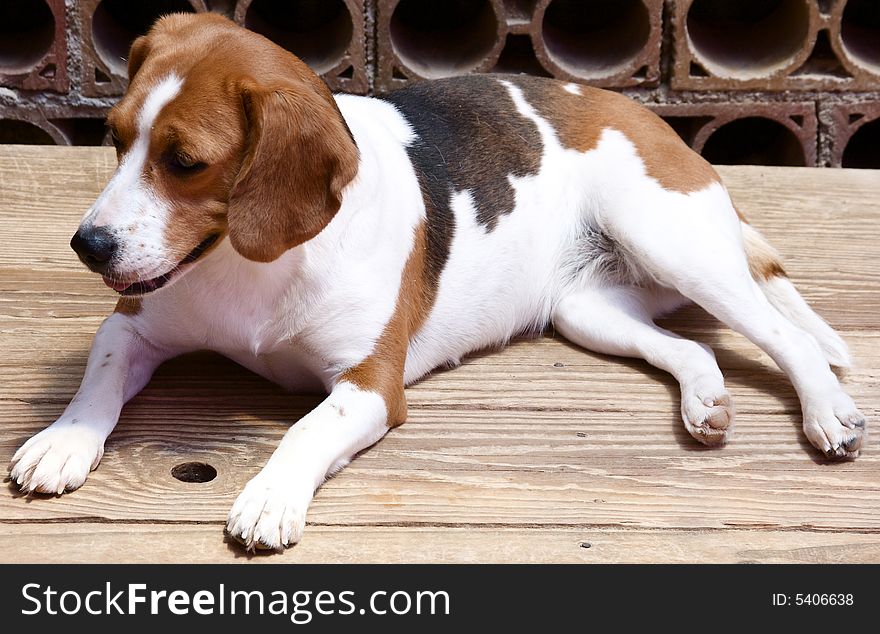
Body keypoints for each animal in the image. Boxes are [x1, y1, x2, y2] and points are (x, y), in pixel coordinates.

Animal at [10, 13, 868, 548]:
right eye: (115, 138)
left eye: (185, 162)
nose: (87, 246)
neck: (246, 263)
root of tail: (650, 119)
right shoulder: (133, 322)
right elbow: (100, 378)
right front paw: (64, 441)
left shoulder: (369, 384)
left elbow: (304, 429)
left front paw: (270, 494)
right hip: (586, 309)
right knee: (694, 351)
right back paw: (704, 402)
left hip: (671, 243)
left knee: (787, 336)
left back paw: (827, 411)